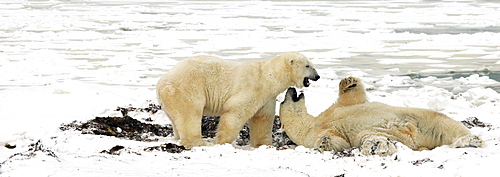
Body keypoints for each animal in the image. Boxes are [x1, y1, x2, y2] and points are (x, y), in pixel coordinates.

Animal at [156, 52, 320, 148]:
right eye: (308, 65)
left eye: (312, 64)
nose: (317, 76)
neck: (268, 77)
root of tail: (161, 82)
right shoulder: (252, 88)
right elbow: (235, 113)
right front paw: (222, 141)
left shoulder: (267, 97)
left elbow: (262, 119)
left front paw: (264, 144)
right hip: (186, 88)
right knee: (190, 115)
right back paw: (200, 142)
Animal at [280, 76, 482, 156]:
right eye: (282, 101)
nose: (290, 89)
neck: (312, 124)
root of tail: (420, 142)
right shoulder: (314, 134)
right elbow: (338, 141)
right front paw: (324, 143)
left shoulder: (333, 111)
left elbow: (351, 100)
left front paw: (348, 81)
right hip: (400, 135)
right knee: (370, 136)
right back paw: (377, 146)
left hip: (421, 118)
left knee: (445, 124)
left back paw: (470, 140)